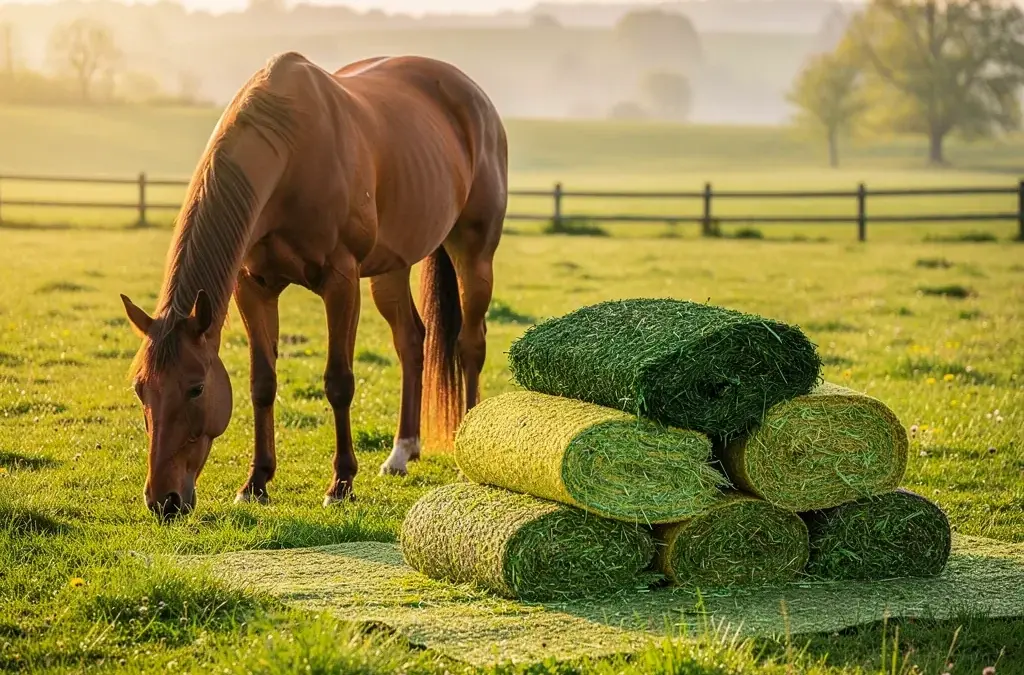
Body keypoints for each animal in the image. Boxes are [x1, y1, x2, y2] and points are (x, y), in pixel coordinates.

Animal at [119, 52, 508, 520]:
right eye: (140, 388)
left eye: (196, 388)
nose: (164, 501)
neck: (290, 153)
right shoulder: (253, 286)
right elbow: (262, 383)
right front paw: (256, 483)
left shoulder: (340, 282)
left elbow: (339, 383)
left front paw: (341, 484)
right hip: (390, 268)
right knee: (412, 340)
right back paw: (401, 452)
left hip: (474, 253)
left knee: (471, 344)